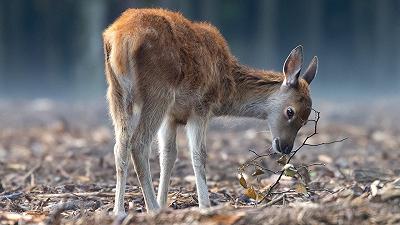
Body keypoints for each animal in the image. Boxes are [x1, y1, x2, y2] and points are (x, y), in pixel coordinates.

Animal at [104, 8, 318, 216]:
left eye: (306, 119)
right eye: (290, 111)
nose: (286, 147)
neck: (225, 89)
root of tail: (122, 39)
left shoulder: (171, 116)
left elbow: (168, 155)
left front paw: (164, 203)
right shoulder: (200, 107)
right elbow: (199, 155)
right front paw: (204, 206)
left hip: (116, 93)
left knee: (120, 145)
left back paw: (119, 211)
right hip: (158, 92)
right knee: (139, 143)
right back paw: (151, 209)